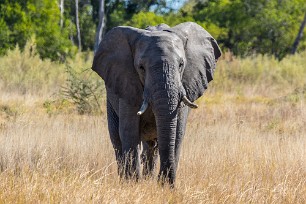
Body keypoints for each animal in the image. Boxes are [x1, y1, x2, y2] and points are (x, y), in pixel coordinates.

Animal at [92, 21, 221, 186]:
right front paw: (134, 184)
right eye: (141, 67)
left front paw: (163, 185)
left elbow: (178, 133)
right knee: (116, 138)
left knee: (151, 145)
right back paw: (125, 179)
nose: (164, 180)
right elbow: (129, 131)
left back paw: (148, 178)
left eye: (181, 65)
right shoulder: (127, 85)